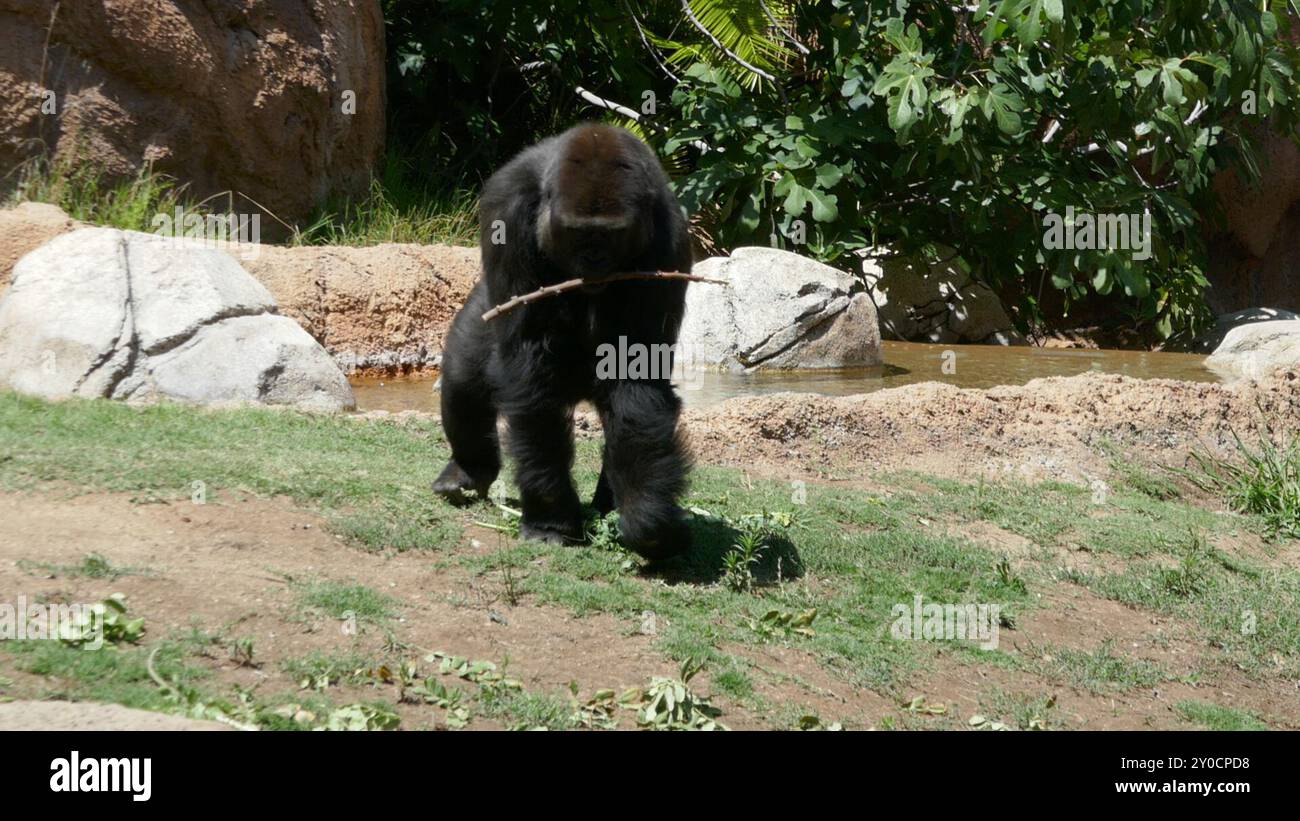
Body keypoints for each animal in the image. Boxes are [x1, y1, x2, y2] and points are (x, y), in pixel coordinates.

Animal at [432, 123, 694, 561]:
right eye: (577, 233)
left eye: (611, 235)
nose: (593, 260)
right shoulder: (508, 210)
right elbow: (529, 371)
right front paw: (550, 519)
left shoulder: (669, 236)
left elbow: (638, 374)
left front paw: (646, 515)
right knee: (463, 375)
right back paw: (468, 470)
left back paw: (609, 504)